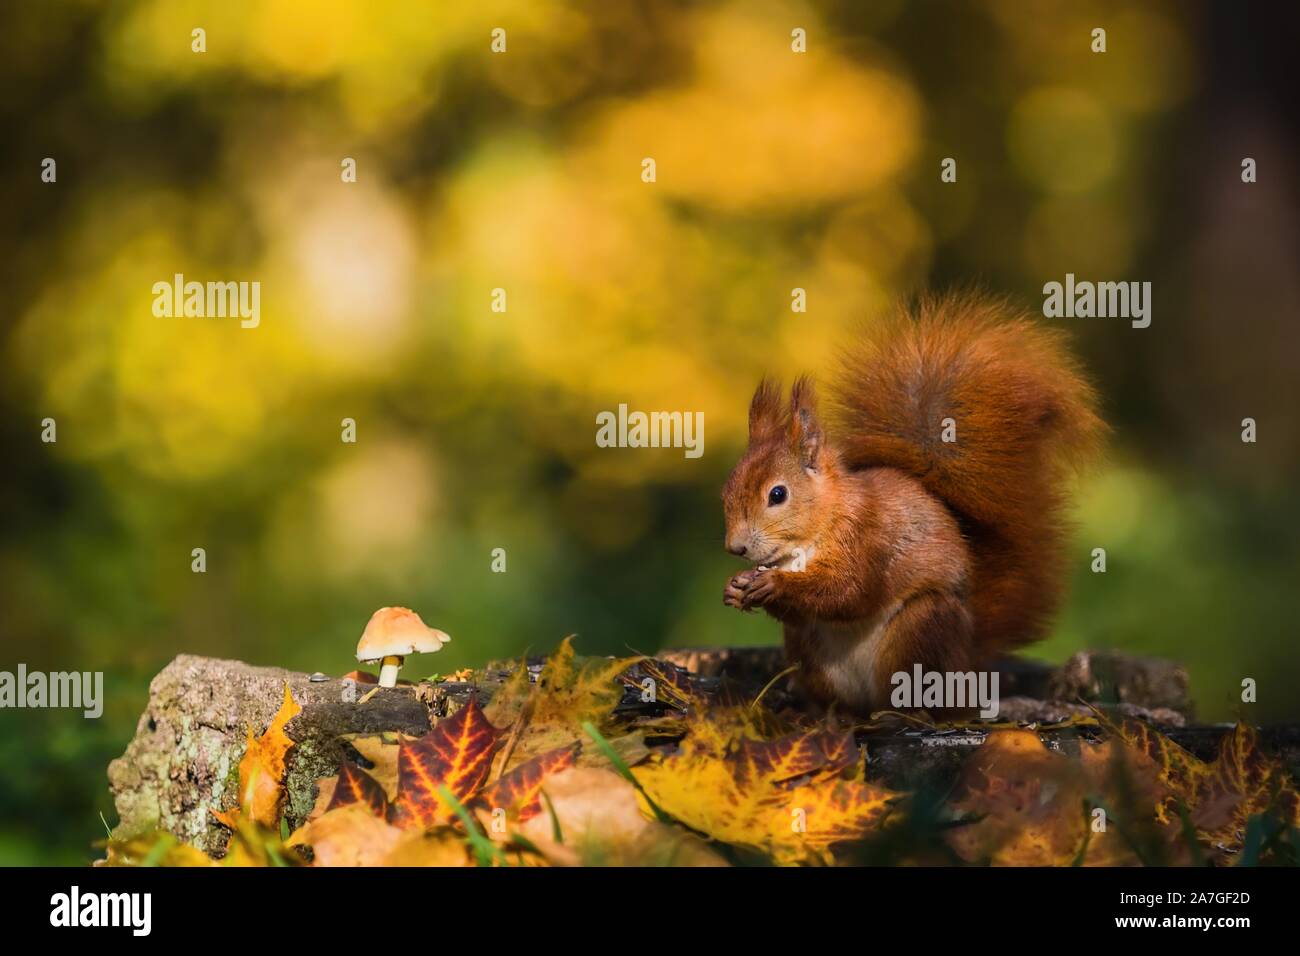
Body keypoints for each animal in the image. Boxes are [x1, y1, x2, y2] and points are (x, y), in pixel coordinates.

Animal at [722, 295, 1107, 712]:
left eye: (778, 494)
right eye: (726, 491)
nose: (735, 548)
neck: (819, 526)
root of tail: (965, 663)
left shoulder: (869, 539)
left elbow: (849, 591)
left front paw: (773, 584)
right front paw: (736, 586)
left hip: (920, 630)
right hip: (809, 652)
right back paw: (824, 710)